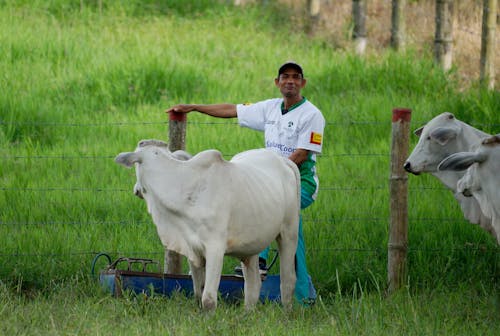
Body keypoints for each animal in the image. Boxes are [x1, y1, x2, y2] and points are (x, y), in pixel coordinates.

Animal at [115, 139, 298, 310]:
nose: (136, 189)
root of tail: (282, 160)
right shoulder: (191, 249)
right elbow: (198, 293)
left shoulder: (215, 248)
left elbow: (208, 298)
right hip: (251, 245)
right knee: (253, 284)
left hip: (289, 233)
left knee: (288, 280)